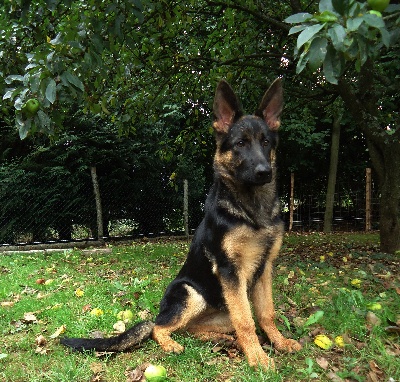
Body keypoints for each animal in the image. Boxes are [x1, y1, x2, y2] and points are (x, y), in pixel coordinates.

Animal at [61, 78, 302, 370]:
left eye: (266, 142)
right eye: (240, 143)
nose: (264, 172)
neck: (251, 210)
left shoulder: (264, 269)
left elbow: (266, 314)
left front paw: (278, 343)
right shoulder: (230, 271)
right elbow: (246, 321)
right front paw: (257, 357)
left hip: (221, 313)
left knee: (194, 329)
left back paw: (220, 340)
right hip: (190, 293)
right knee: (160, 328)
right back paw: (172, 344)